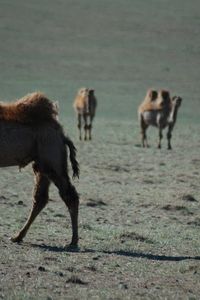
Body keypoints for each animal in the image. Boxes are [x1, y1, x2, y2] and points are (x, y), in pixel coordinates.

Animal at [0, 92, 79, 247]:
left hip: (52, 160)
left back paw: (73, 242)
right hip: (41, 165)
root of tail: (61, 134)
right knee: (40, 198)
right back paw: (17, 237)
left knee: (69, 195)